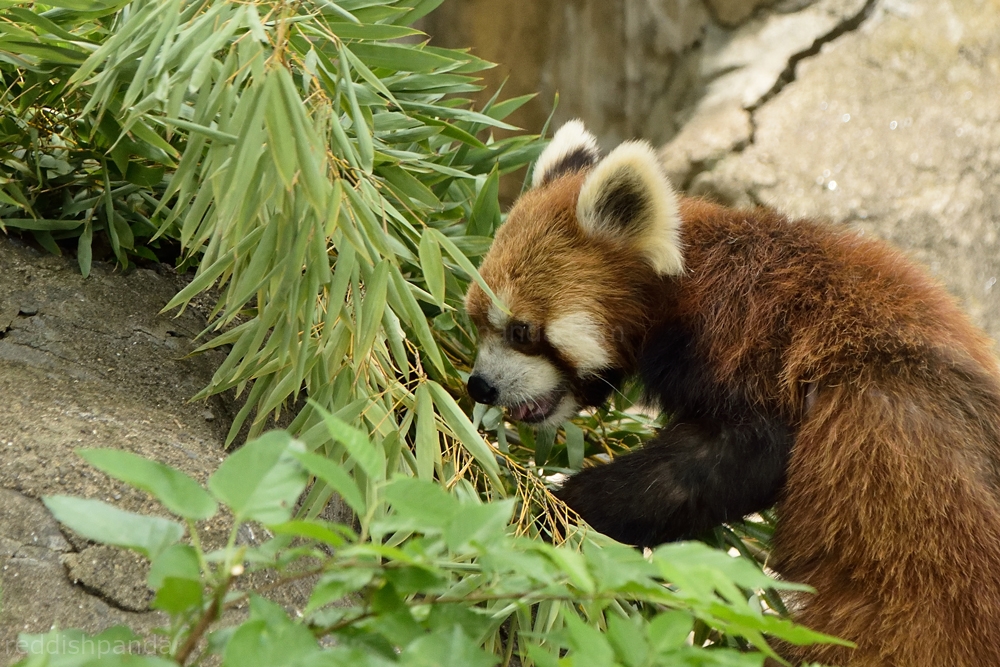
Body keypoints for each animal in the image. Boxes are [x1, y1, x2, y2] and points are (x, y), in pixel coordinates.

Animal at [462, 120, 1000, 667]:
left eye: (522, 331)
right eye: (477, 320)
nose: (479, 385)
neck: (688, 282)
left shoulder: (752, 339)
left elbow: (731, 459)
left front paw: (562, 500)